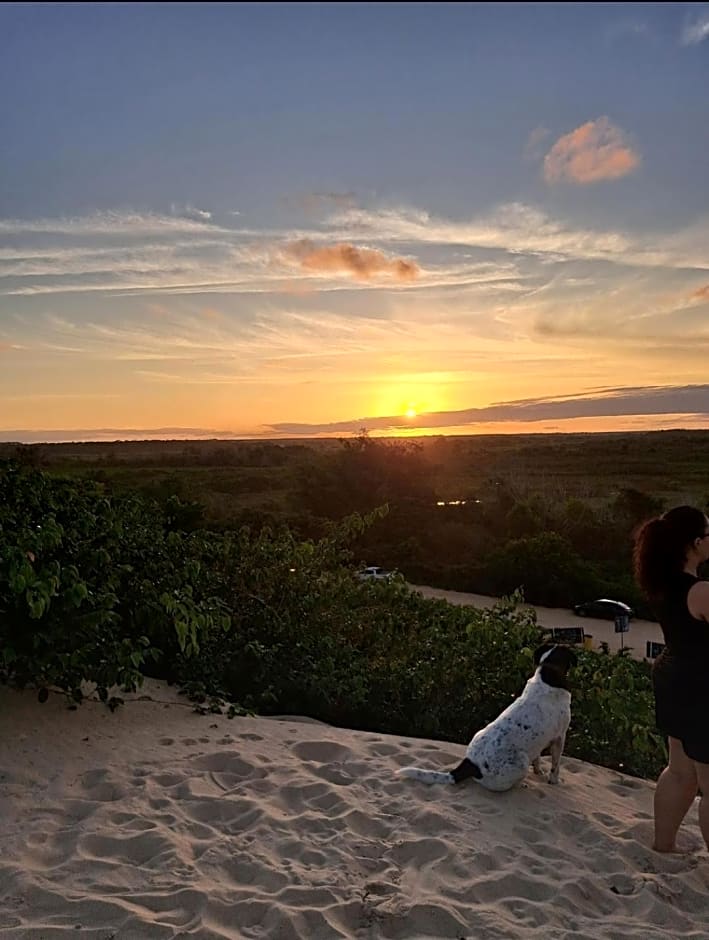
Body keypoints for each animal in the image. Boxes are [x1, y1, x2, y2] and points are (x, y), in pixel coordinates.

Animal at [396, 644, 580, 788]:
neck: (548, 673)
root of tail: (471, 765)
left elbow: (538, 759)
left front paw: (538, 771)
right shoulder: (560, 737)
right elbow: (556, 765)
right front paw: (554, 780)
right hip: (520, 762)